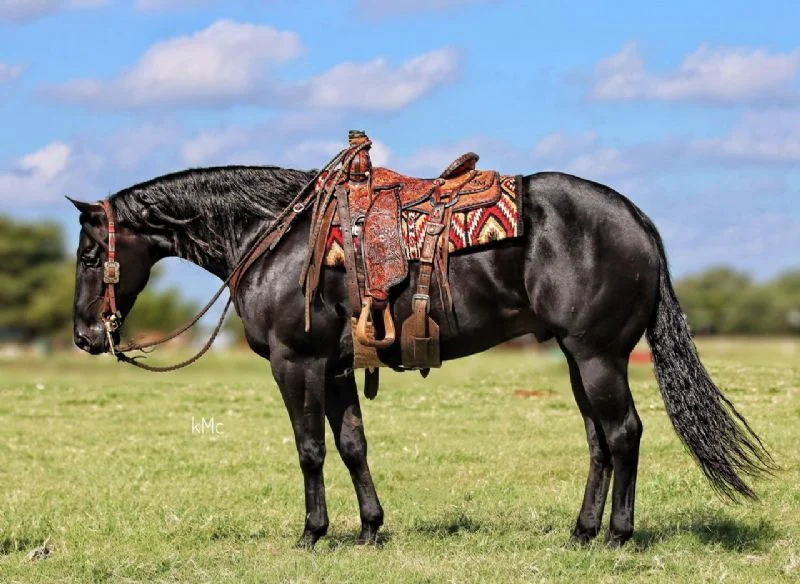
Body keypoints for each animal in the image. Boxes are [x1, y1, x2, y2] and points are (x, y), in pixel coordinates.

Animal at [69, 165, 773, 548]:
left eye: (88, 254)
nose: (84, 336)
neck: (275, 237)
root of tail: (637, 219)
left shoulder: (295, 363)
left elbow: (309, 449)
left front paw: (312, 533)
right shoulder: (334, 367)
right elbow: (351, 444)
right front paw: (369, 528)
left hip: (599, 356)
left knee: (624, 433)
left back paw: (620, 536)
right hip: (579, 358)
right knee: (600, 440)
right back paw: (582, 532)